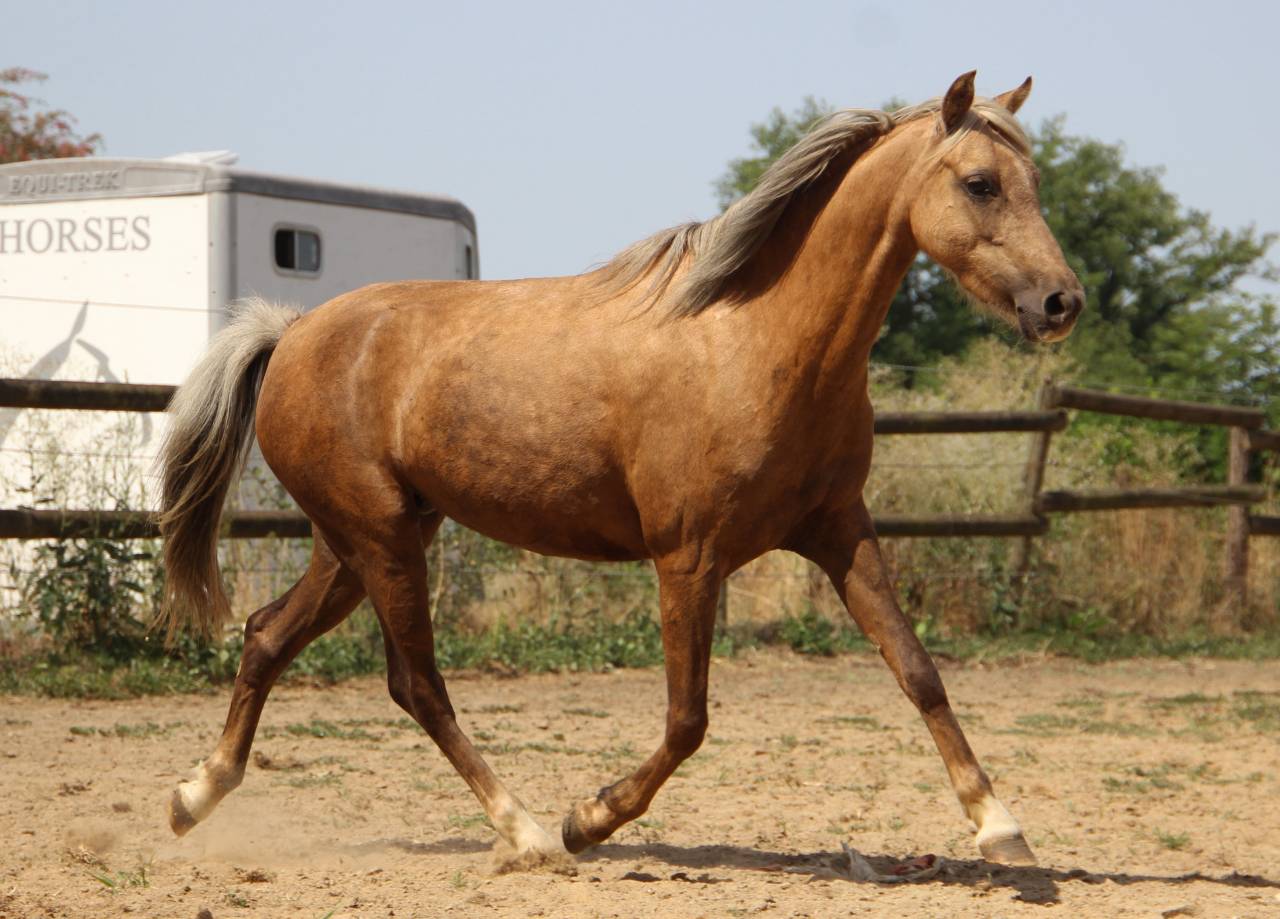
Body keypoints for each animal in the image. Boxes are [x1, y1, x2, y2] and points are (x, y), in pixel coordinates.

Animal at [158, 71, 1083, 867]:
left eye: (1033, 180)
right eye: (980, 183)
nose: (1061, 302)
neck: (758, 341)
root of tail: (292, 334)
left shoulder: (839, 530)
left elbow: (919, 671)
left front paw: (1000, 826)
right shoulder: (688, 557)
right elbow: (687, 719)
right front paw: (589, 816)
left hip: (358, 541)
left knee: (266, 635)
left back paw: (192, 796)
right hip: (380, 538)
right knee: (416, 682)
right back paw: (530, 831)